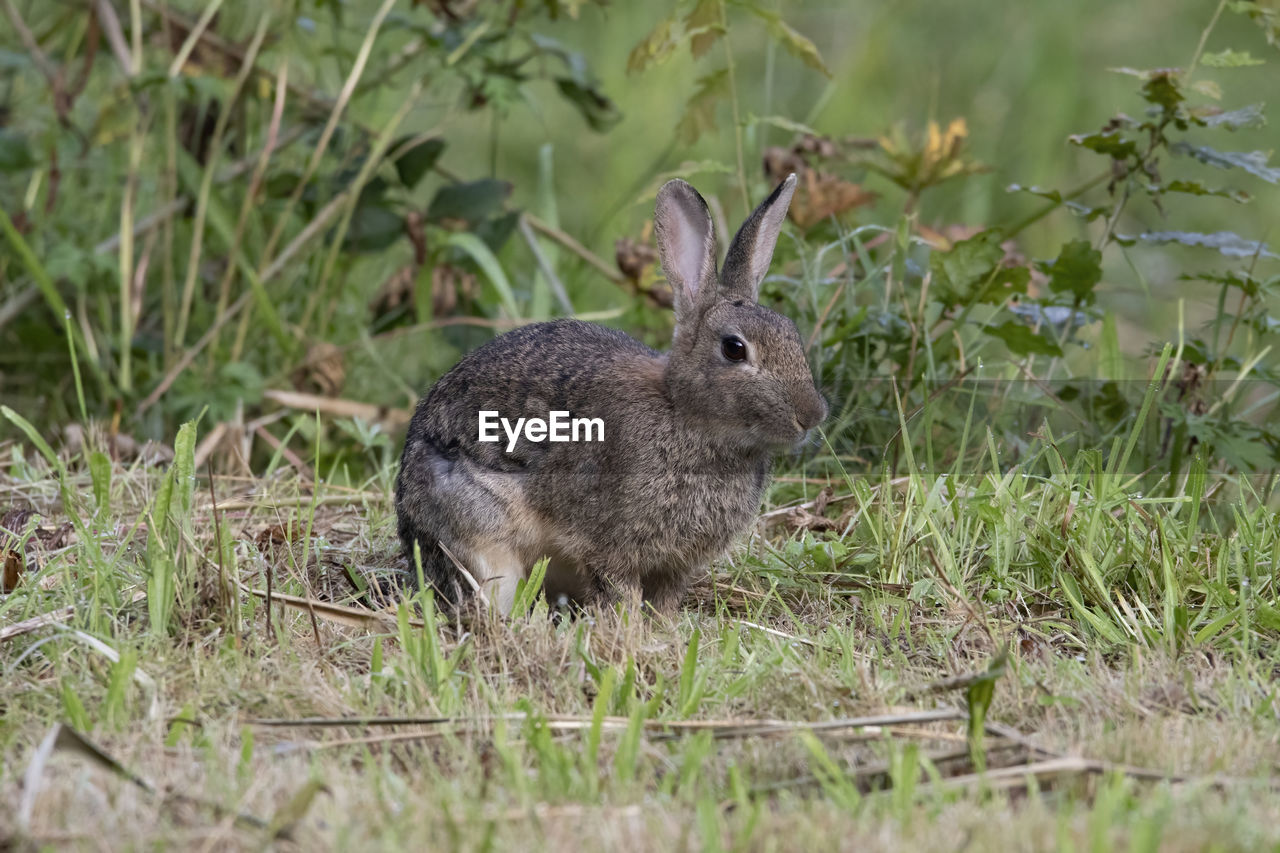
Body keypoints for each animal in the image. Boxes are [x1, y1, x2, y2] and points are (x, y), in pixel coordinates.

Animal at [394, 172, 824, 612]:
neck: (683, 413)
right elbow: (620, 592)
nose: (812, 415)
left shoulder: (675, 565)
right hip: (482, 537)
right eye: (734, 349)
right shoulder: (610, 547)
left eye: (792, 334)